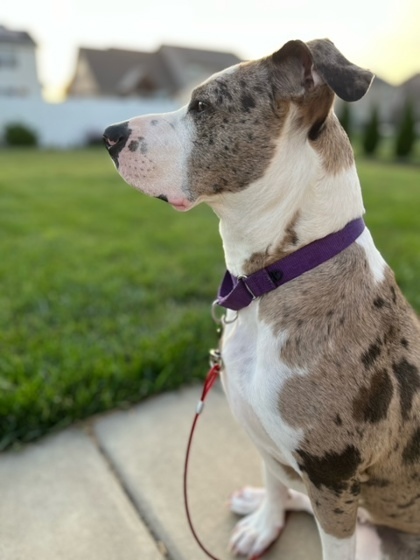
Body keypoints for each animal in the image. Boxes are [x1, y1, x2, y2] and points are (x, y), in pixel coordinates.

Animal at [104, 39, 420, 560]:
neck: (273, 280)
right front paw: (266, 521)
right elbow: (272, 478)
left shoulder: (332, 479)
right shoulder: (265, 439)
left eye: (202, 105)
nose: (110, 135)